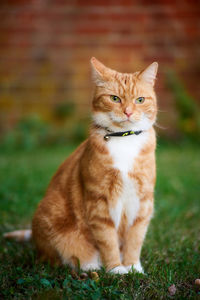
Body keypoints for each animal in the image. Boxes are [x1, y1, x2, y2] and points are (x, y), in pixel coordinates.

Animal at [3, 56, 158, 274]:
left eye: (140, 100)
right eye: (115, 99)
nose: (128, 112)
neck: (124, 140)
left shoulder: (143, 200)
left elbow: (135, 238)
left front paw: (133, 267)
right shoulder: (99, 201)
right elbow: (107, 240)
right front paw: (116, 269)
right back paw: (89, 265)